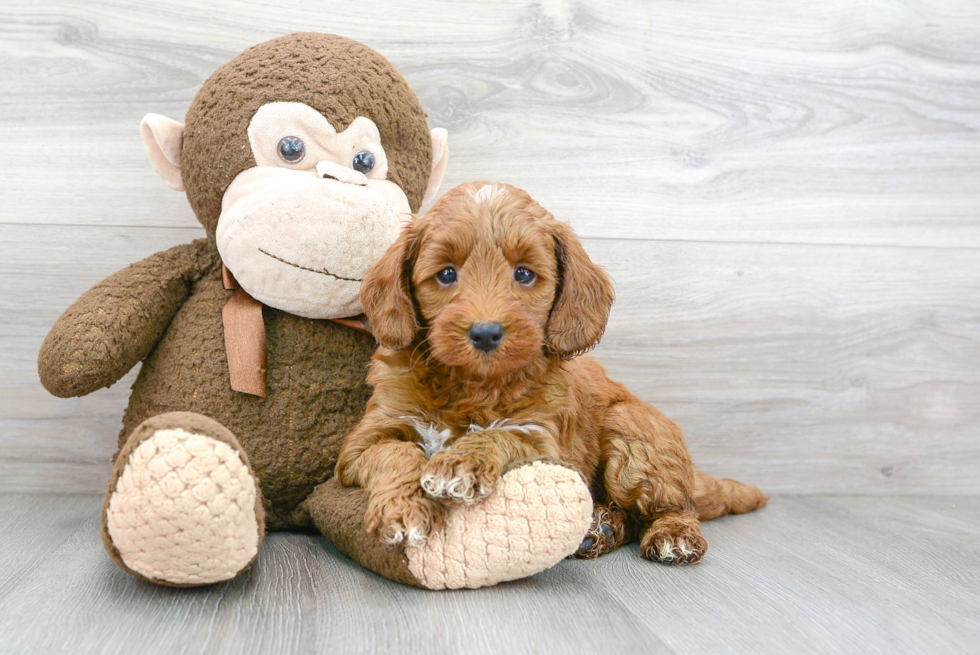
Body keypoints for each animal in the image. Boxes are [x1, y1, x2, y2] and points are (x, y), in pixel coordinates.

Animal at [336, 181, 764, 564]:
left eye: (524, 274)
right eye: (445, 274)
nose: (485, 332)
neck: (473, 386)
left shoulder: (545, 441)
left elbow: (500, 434)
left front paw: (460, 463)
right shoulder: (367, 439)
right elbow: (395, 451)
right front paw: (403, 509)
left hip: (635, 435)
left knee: (674, 505)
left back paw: (672, 535)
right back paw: (601, 529)